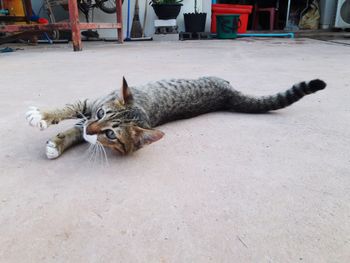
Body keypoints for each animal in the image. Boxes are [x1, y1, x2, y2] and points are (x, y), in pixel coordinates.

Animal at [25, 76, 326, 159]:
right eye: (101, 114)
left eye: (111, 134)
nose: (92, 128)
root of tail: (228, 95)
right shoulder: (90, 105)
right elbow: (70, 110)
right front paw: (44, 117)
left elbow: (76, 127)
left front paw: (55, 139)